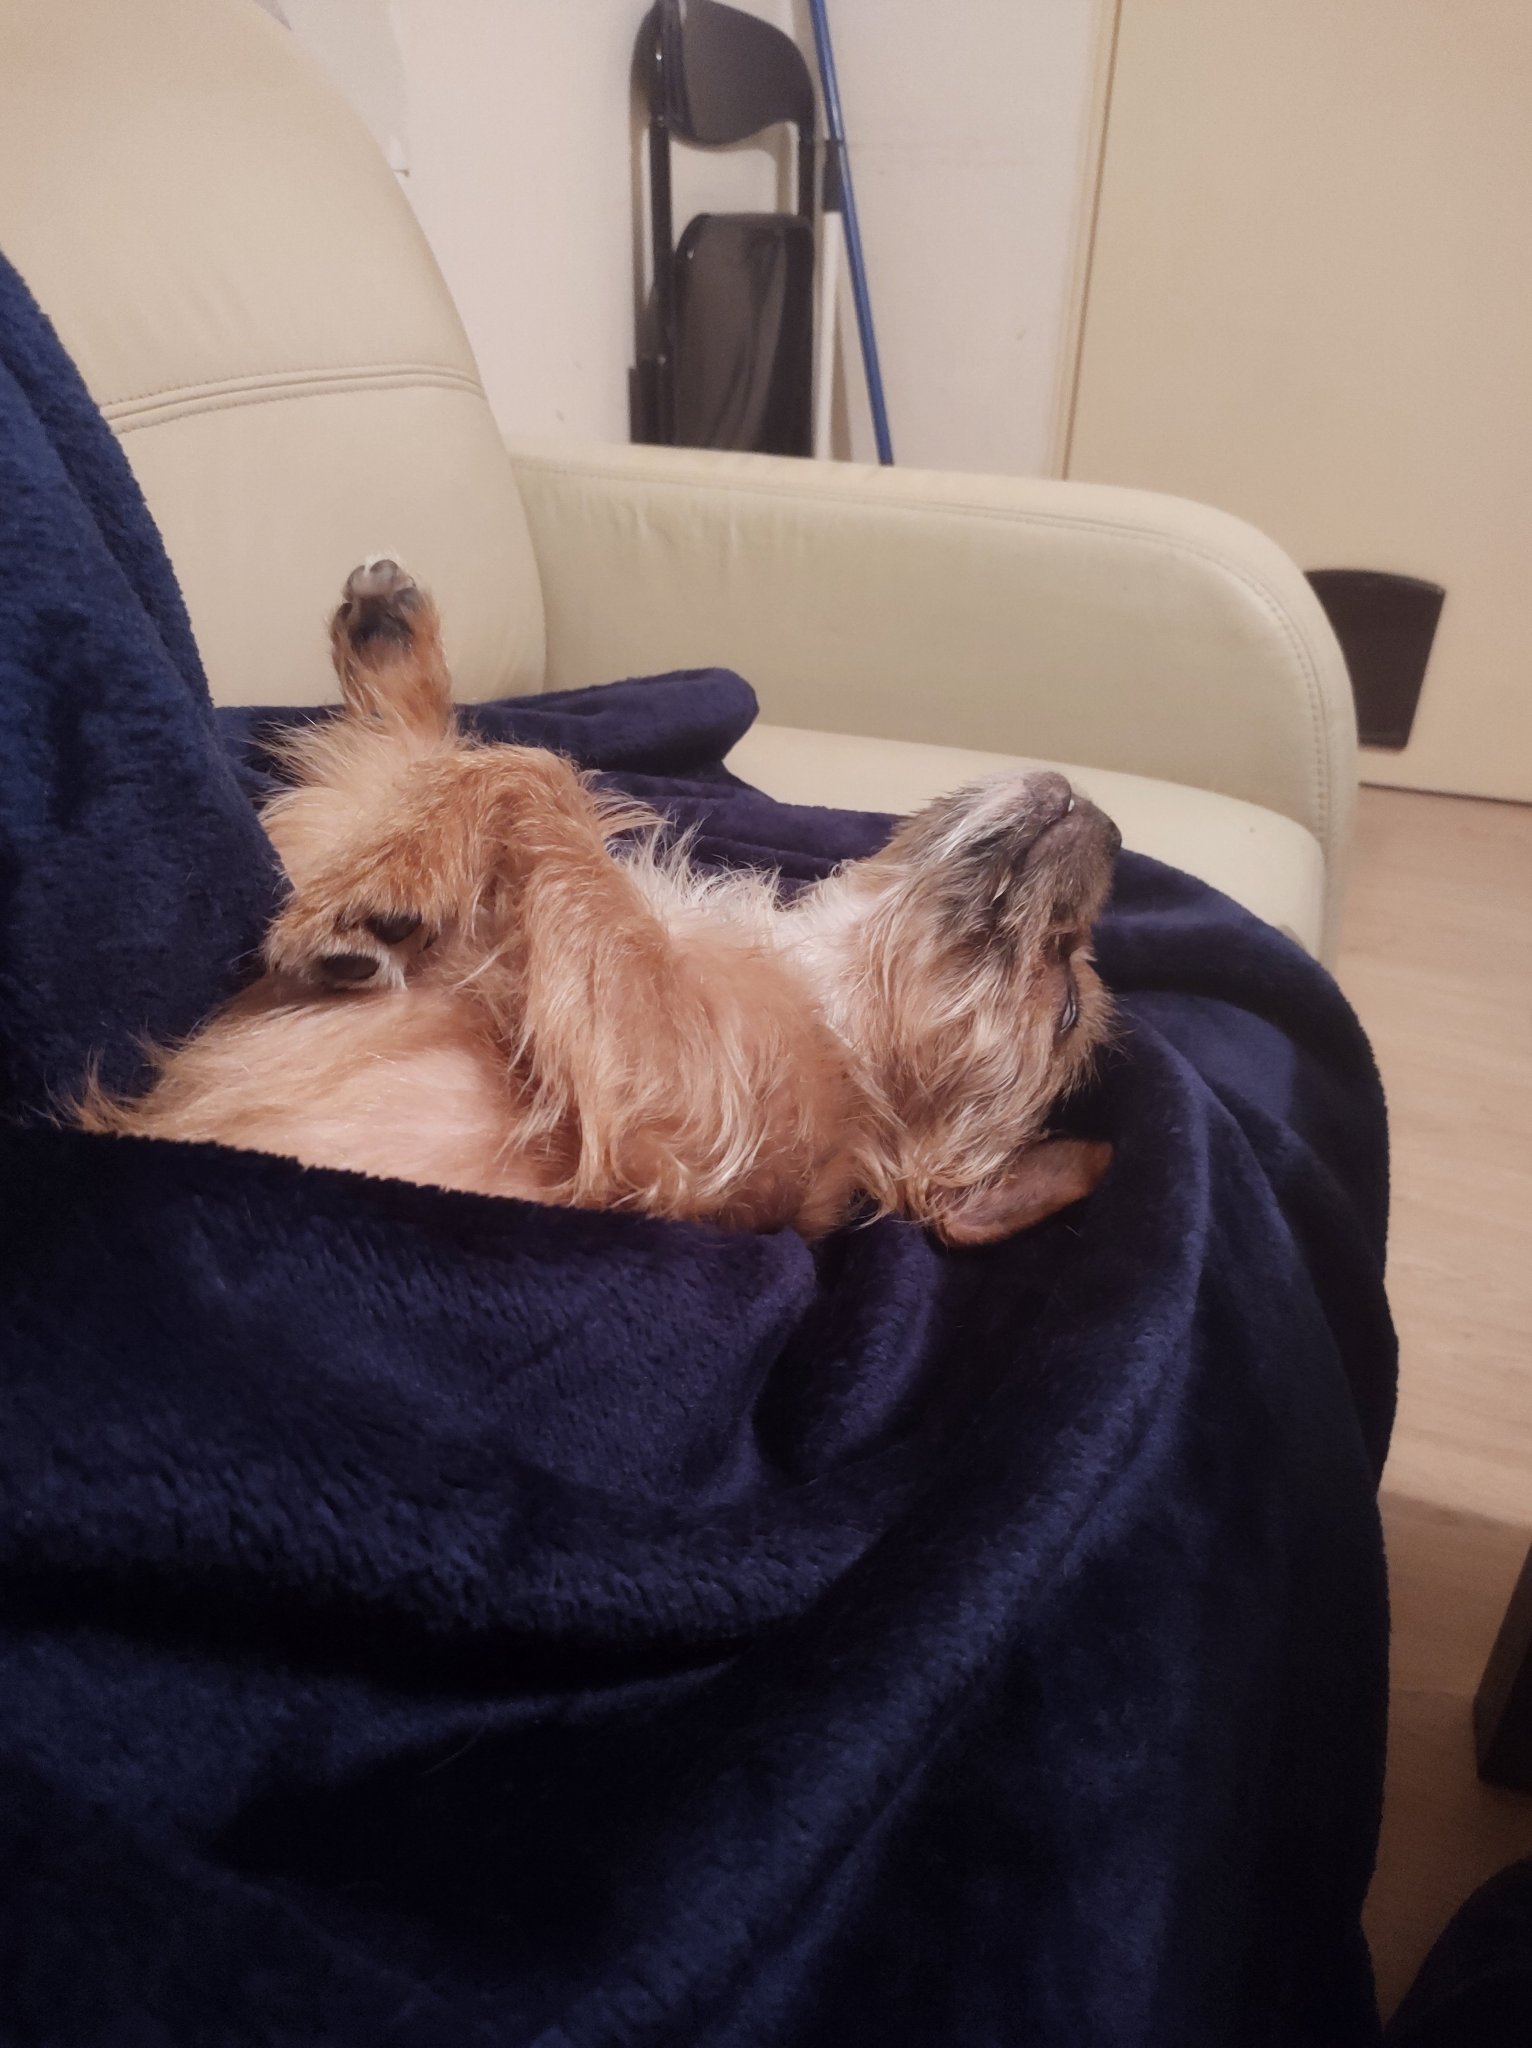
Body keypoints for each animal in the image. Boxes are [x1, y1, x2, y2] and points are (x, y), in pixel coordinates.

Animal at [78, 561, 1120, 1244]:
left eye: (1065, 1006)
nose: (1111, 830)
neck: (819, 987)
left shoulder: (672, 1094)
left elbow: (527, 768)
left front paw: (383, 894)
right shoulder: (324, 832)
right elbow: (419, 766)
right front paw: (394, 661)